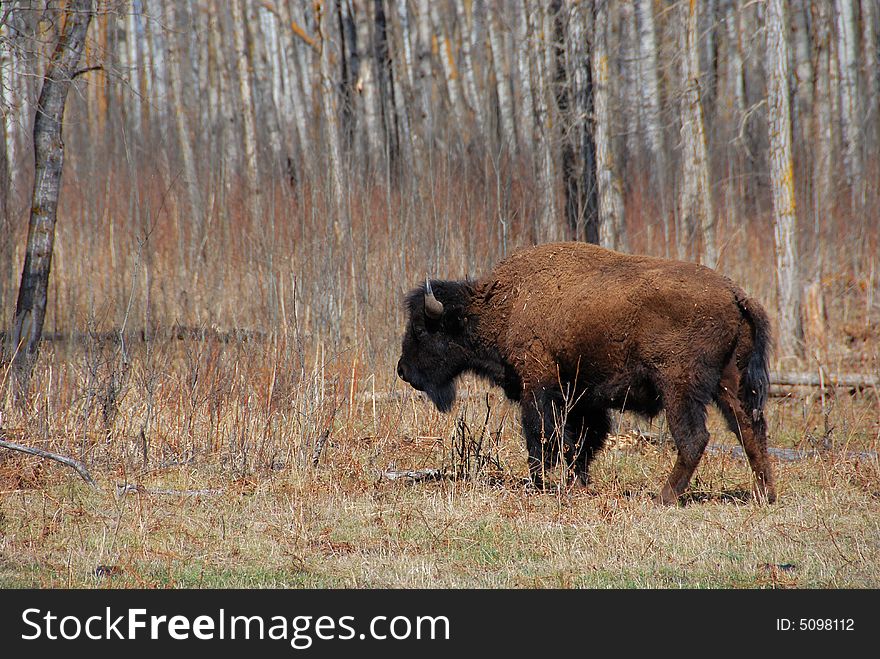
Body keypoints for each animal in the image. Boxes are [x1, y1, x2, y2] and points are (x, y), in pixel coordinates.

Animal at [396, 242, 772, 506]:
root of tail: (737, 294)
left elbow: (542, 433)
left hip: (679, 386)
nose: (402, 370)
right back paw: (764, 493)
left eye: (421, 329)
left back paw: (663, 496)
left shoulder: (539, 381)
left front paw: (540, 482)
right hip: (730, 383)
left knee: (695, 437)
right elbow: (582, 442)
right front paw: (577, 482)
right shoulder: (583, 397)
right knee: (750, 430)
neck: (504, 303)